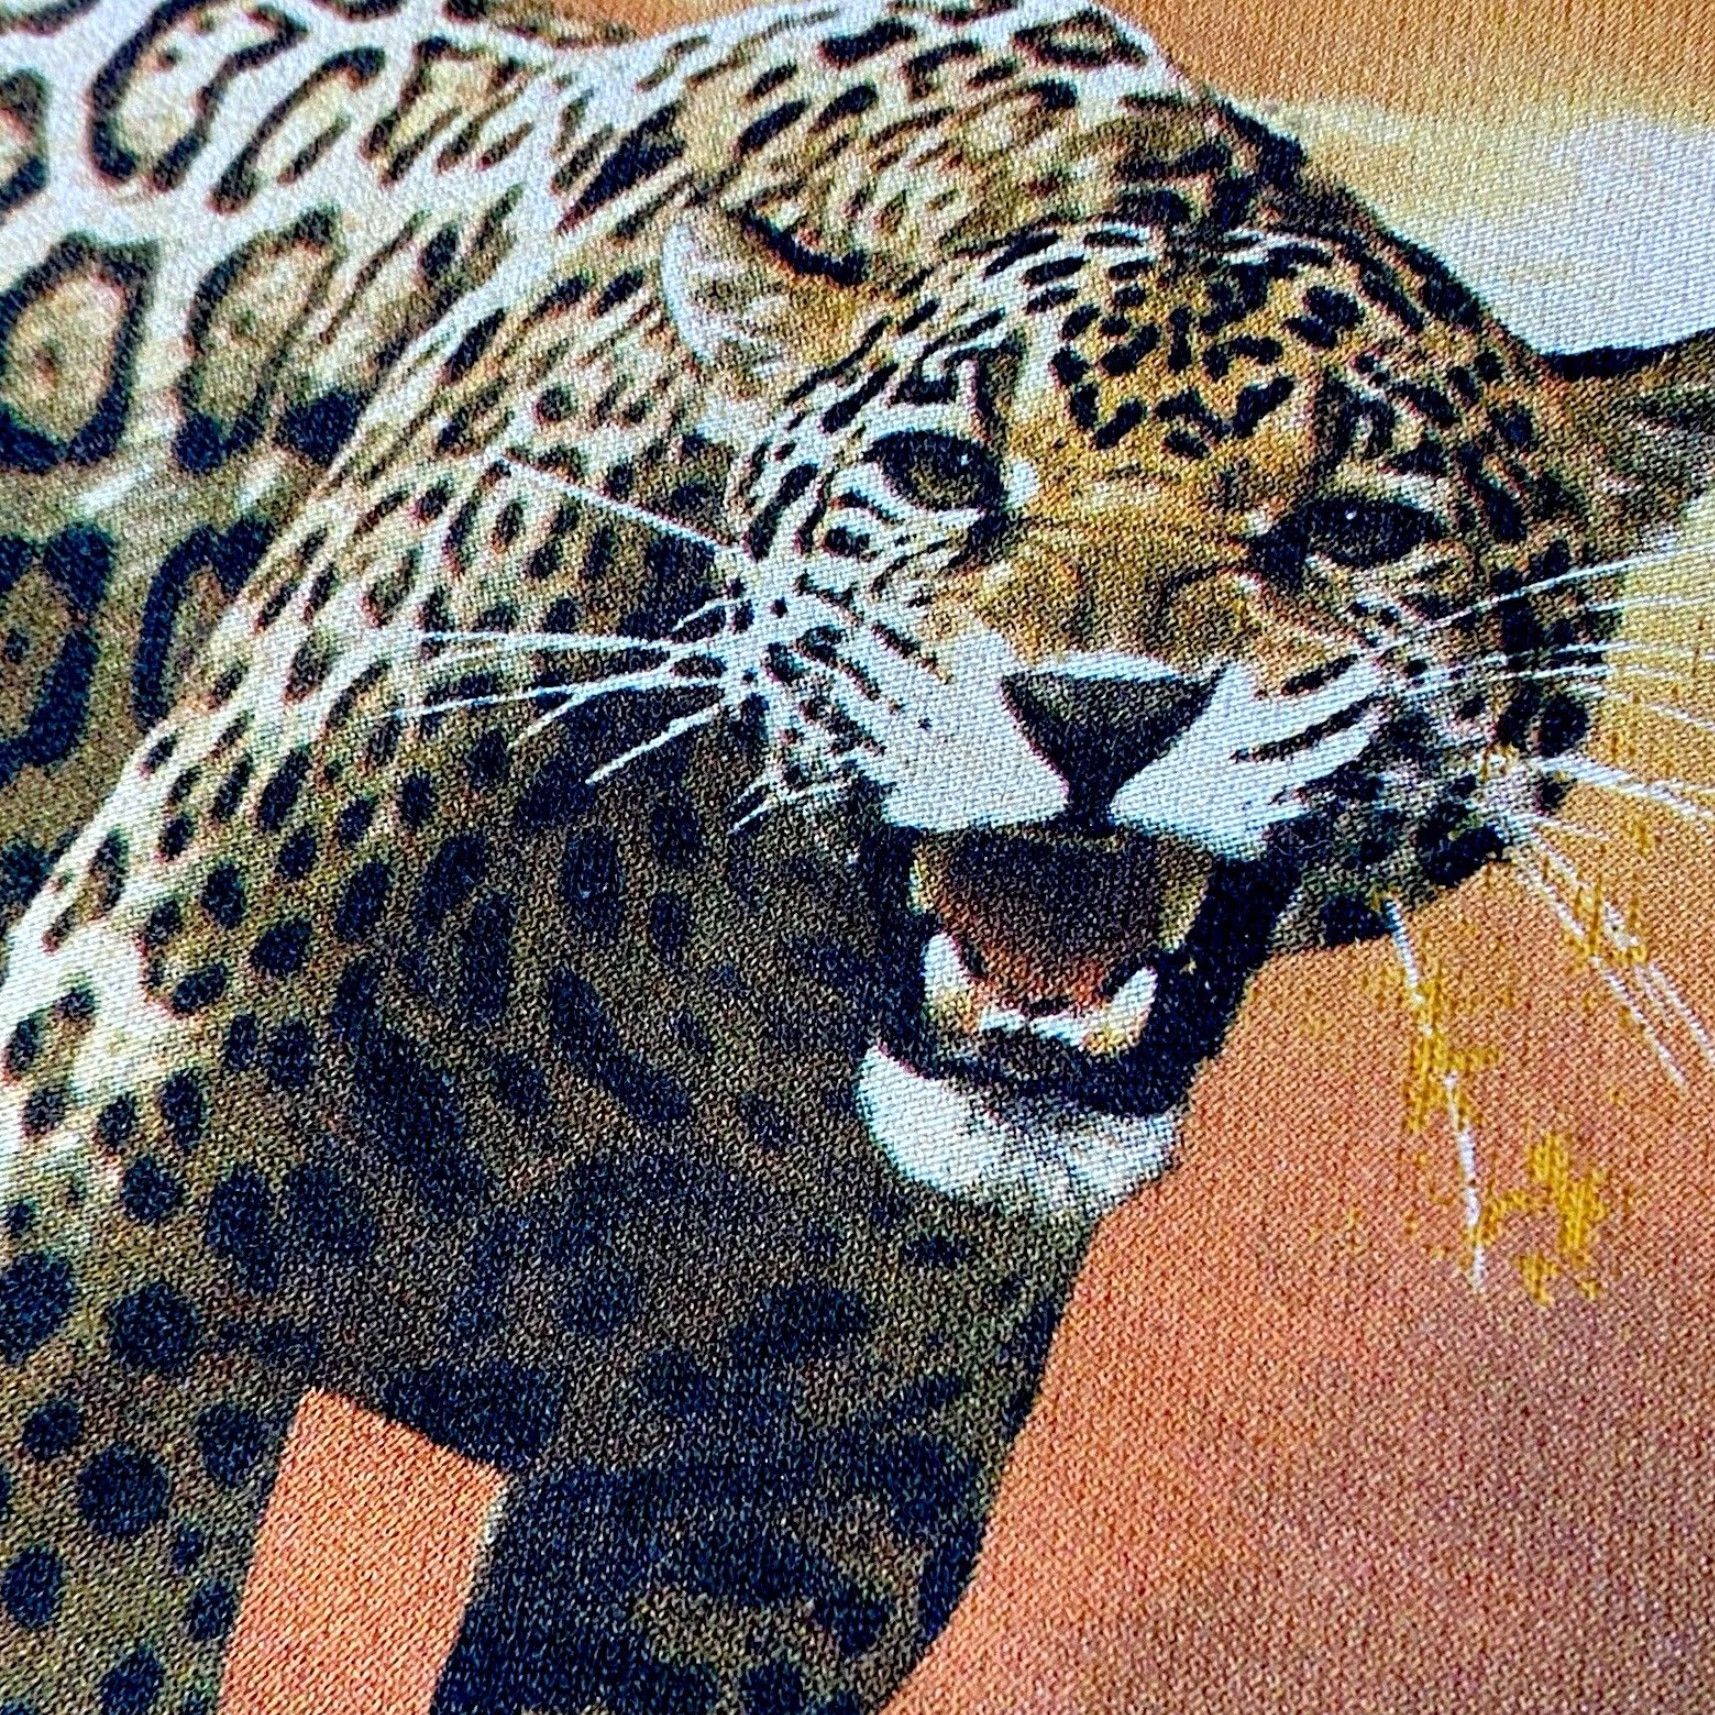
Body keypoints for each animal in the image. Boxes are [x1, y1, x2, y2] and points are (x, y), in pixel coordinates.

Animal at [0, 0, 1711, 1710]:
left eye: (1356, 529)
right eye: (941, 472)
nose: (1098, 706)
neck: (717, 1026)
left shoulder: (782, 1514)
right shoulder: (101, 1194)